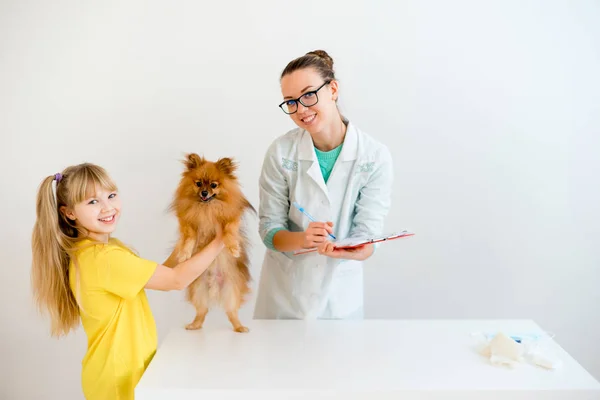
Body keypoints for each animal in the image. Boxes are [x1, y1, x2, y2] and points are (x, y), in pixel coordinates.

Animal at [165, 153, 254, 332]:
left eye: (214, 185)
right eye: (198, 183)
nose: (204, 193)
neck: (206, 208)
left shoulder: (232, 218)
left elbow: (229, 231)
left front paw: (233, 248)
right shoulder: (188, 222)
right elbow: (189, 237)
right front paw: (184, 253)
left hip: (231, 292)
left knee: (232, 313)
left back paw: (239, 327)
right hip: (198, 291)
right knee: (202, 312)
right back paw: (194, 325)